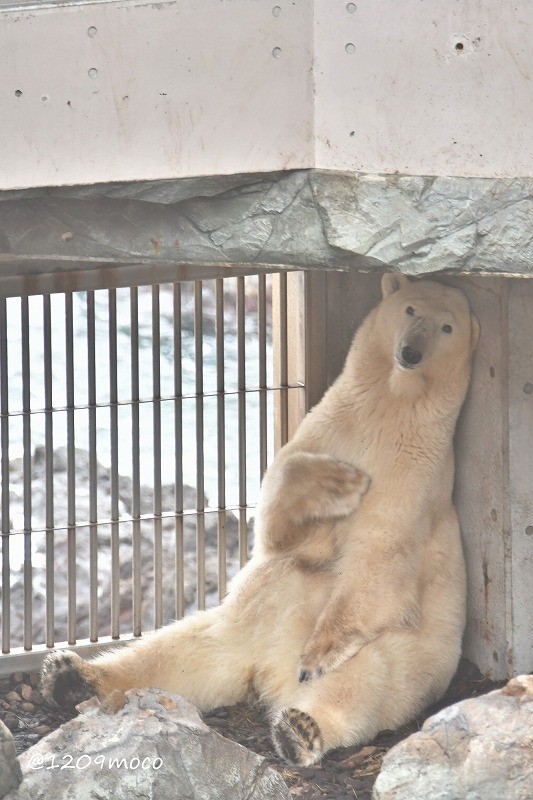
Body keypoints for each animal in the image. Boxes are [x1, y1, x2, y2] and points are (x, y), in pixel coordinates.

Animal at [39, 274, 476, 764]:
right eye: (409, 309)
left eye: (447, 328)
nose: (411, 352)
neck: (392, 411)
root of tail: (269, 675)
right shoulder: (331, 426)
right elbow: (277, 523)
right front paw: (336, 482)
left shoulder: (416, 479)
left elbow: (379, 562)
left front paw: (318, 653)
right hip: (242, 625)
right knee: (176, 651)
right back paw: (72, 674)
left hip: (403, 657)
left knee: (363, 683)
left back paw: (300, 727)